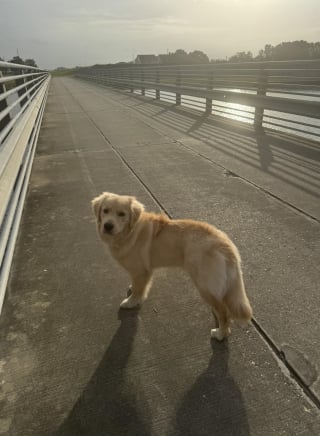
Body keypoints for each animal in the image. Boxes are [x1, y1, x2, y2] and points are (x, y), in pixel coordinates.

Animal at [92, 192, 252, 338]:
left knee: (224, 312)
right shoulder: (142, 272)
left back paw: (220, 334)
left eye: (122, 214)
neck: (131, 231)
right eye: (105, 210)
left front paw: (131, 302)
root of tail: (225, 242)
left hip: (204, 284)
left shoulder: (141, 271)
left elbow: (138, 290)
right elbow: (138, 286)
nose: (108, 226)